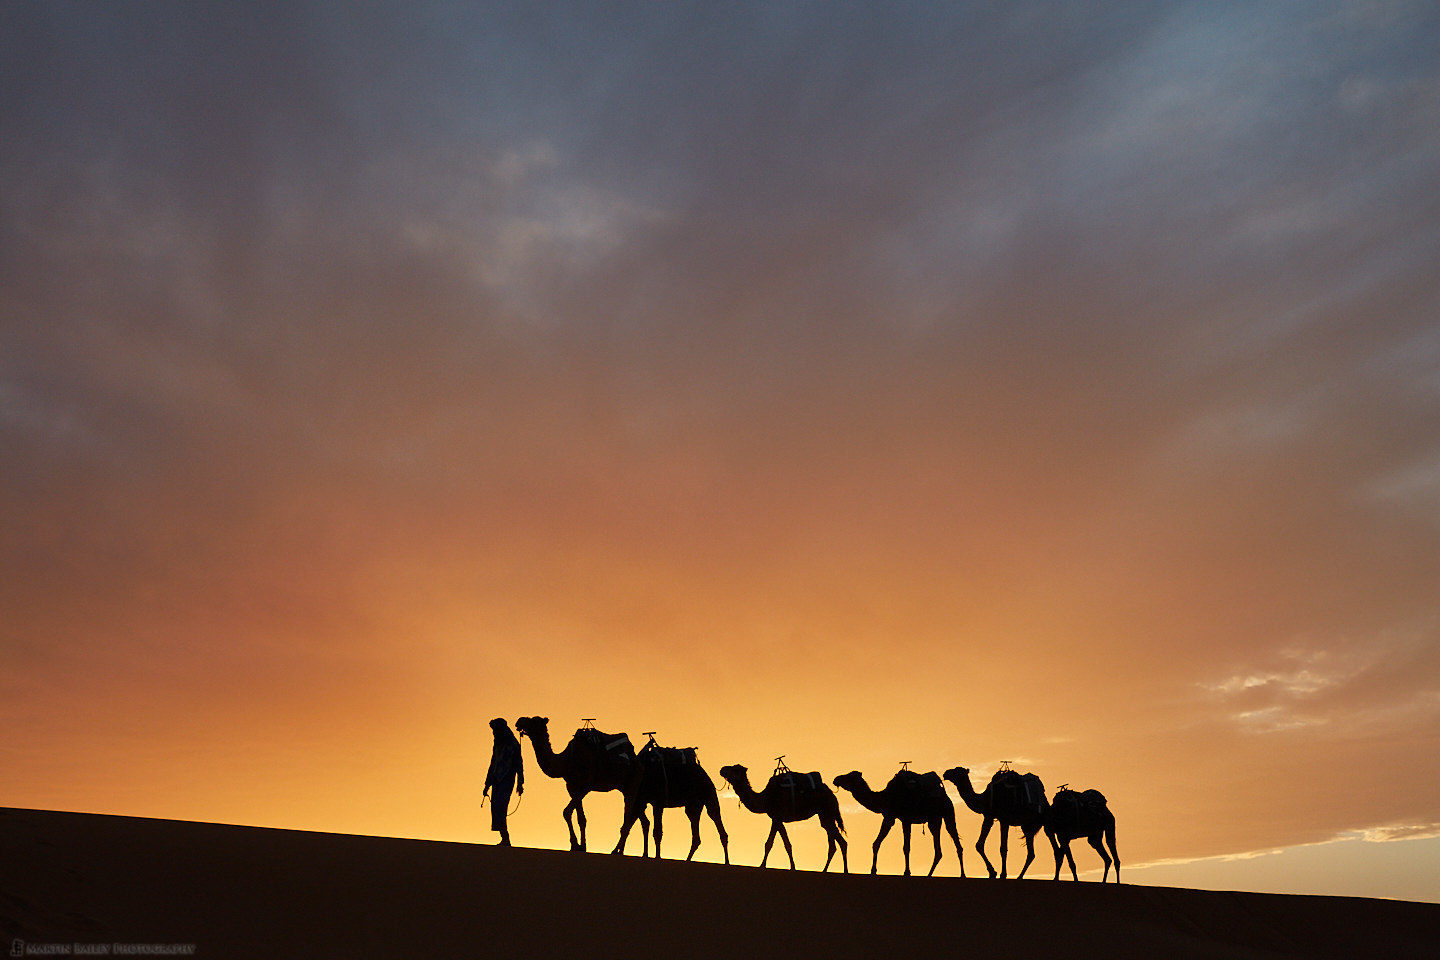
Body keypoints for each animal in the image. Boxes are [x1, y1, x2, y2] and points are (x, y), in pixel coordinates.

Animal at [515, 713, 645, 857]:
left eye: (534, 721)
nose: (519, 721)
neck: (567, 760)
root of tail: (636, 759)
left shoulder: (586, 785)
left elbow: (570, 813)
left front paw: (578, 845)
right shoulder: (571, 787)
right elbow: (576, 816)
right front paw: (579, 845)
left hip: (632, 784)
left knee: (628, 817)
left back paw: (617, 851)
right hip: (627, 787)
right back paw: (620, 850)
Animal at [835, 765, 967, 880]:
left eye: (849, 776)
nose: (836, 779)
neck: (886, 797)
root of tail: (945, 794)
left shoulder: (905, 818)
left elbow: (906, 847)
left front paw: (907, 872)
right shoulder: (890, 817)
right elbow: (876, 843)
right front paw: (873, 870)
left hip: (948, 813)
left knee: (955, 840)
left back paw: (963, 875)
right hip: (934, 819)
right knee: (939, 850)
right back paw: (929, 874)